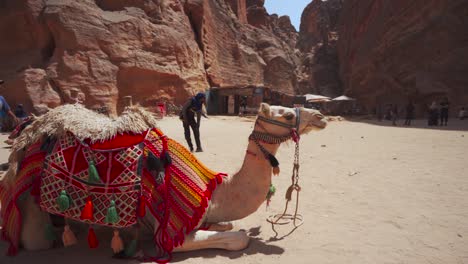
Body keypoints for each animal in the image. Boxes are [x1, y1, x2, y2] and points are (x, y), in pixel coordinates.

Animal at [0, 102, 328, 260]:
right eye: (286, 115)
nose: (322, 116)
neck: (217, 192)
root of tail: (30, 132)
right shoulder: (168, 229)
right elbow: (238, 237)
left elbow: (227, 224)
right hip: (28, 196)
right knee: (35, 238)